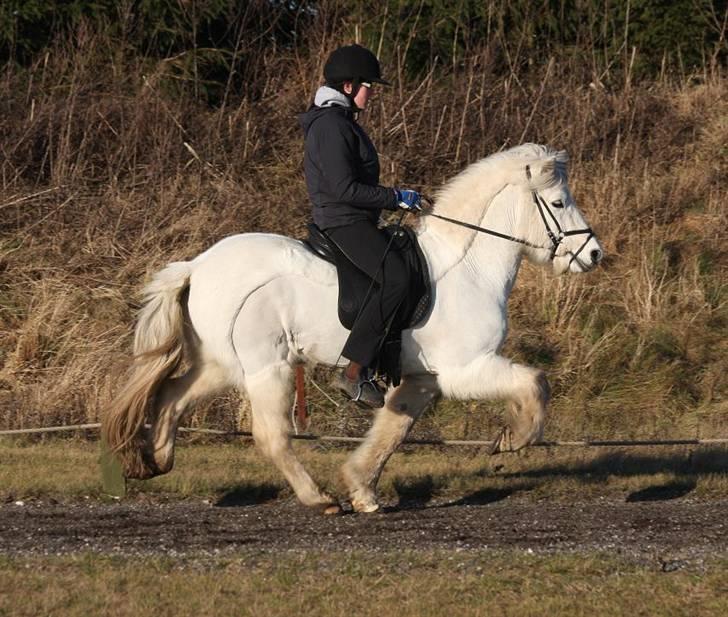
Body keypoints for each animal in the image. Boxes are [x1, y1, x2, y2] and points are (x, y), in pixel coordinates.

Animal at [102, 143, 604, 510]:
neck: (468, 266)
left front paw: (362, 489)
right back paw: (318, 499)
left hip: (221, 364)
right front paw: (513, 440)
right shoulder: (466, 369)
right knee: (270, 435)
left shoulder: (424, 378)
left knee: (172, 396)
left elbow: (392, 430)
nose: (594, 254)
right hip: (267, 367)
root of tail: (198, 265)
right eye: (558, 202)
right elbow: (535, 383)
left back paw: (154, 461)